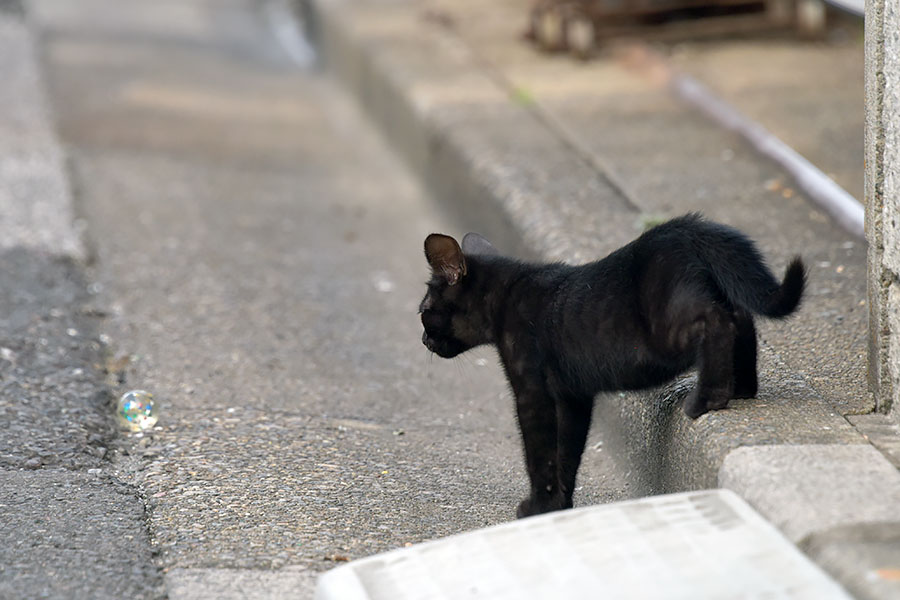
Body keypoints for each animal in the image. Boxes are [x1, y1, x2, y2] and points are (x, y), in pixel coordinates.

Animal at [422, 213, 808, 516]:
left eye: (424, 312)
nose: (424, 340)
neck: (507, 294)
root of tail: (683, 229)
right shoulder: (572, 397)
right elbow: (567, 452)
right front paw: (560, 505)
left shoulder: (532, 390)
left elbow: (540, 453)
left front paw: (538, 507)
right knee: (741, 316)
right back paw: (741, 388)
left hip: (669, 328)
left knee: (719, 321)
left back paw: (708, 398)